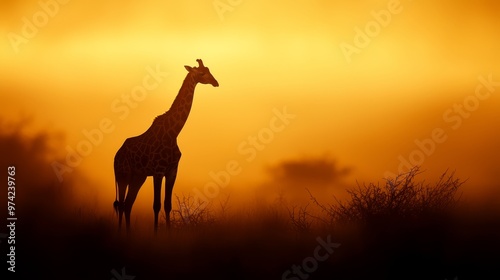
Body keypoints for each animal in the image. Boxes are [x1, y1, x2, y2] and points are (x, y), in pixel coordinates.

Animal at [113, 59, 219, 232]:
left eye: (209, 70)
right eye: (202, 73)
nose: (216, 82)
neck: (173, 133)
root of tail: (116, 155)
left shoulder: (172, 171)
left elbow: (167, 205)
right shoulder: (158, 171)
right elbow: (156, 205)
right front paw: (156, 234)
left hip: (138, 177)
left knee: (128, 205)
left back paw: (128, 234)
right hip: (122, 175)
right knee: (121, 205)